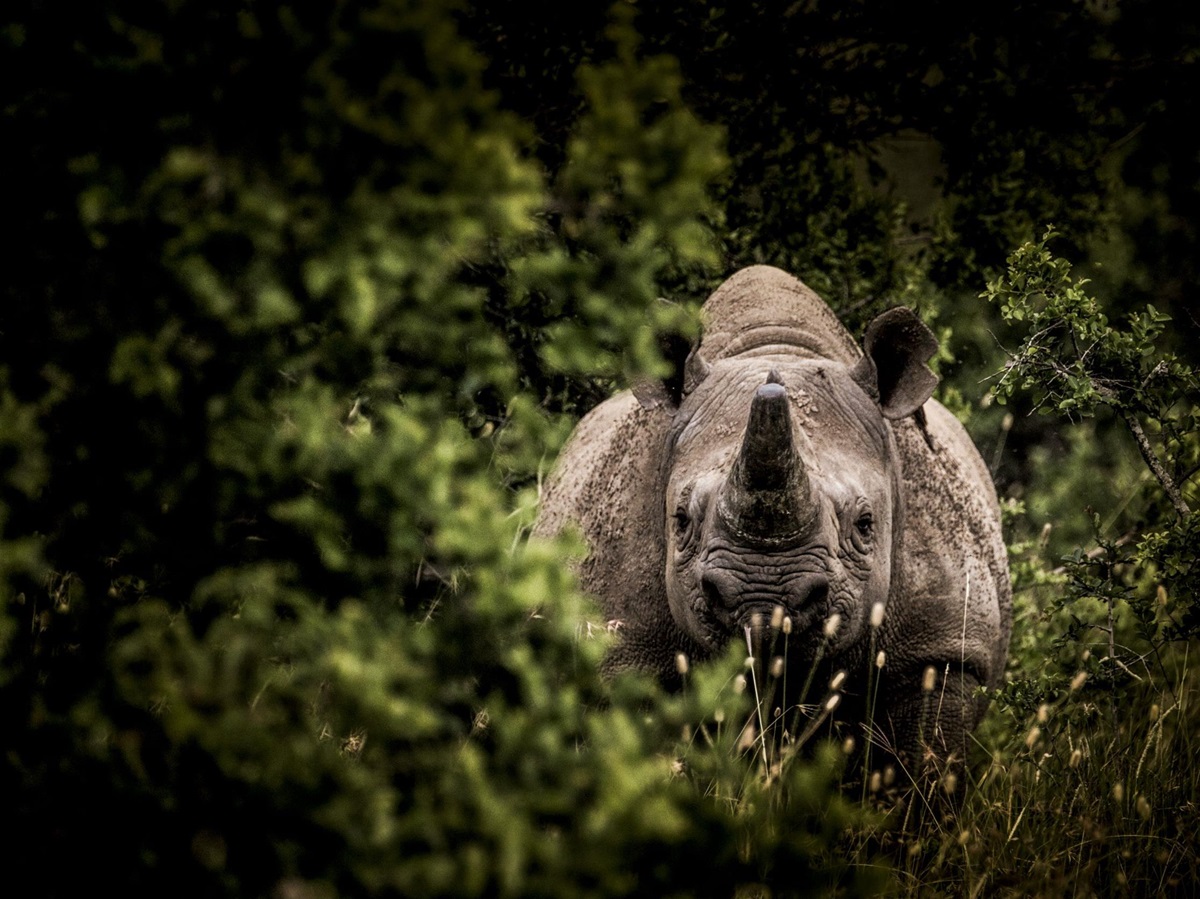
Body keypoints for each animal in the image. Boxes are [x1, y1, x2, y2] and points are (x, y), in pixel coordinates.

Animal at [535, 266, 1011, 765]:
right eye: (681, 520)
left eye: (865, 524)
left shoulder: (942, 652)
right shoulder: (622, 652)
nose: (763, 600)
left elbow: (923, 761)